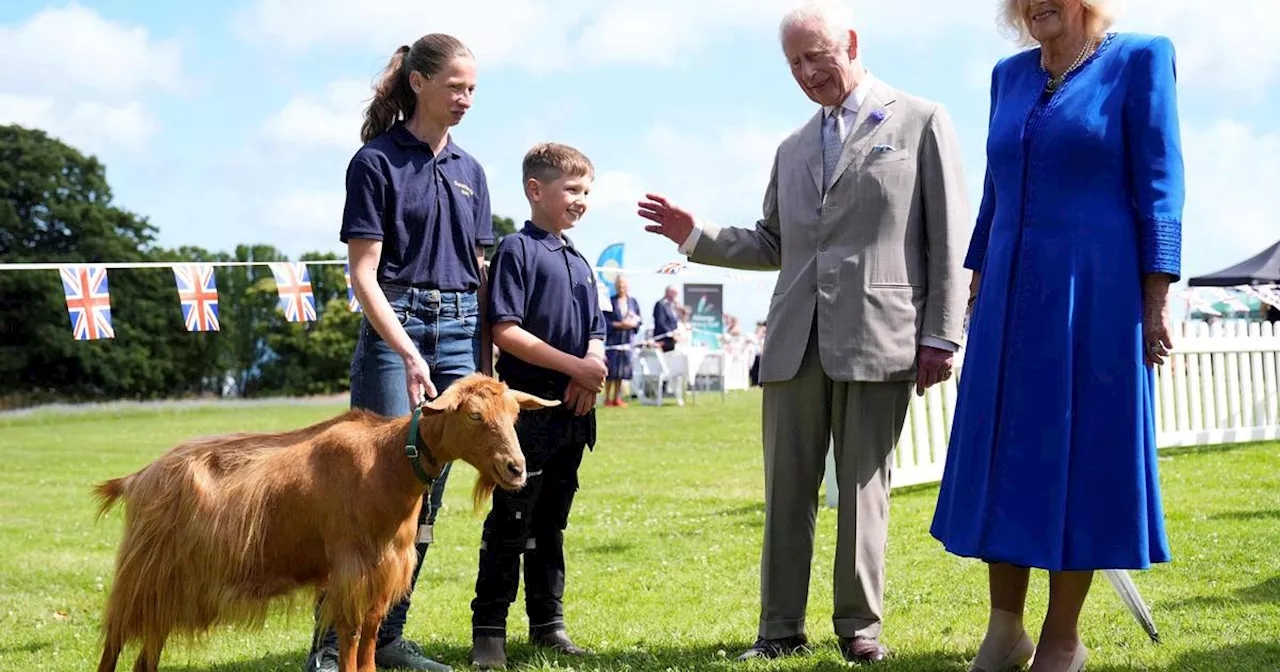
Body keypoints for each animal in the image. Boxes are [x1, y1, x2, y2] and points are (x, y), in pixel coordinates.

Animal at [94, 373, 555, 665]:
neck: (387, 463)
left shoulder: (384, 575)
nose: (516, 468)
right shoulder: (350, 574)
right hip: (142, 575)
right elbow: (349, 640)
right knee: (113, 643)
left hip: (169, 586)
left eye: (515, 414)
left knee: (145, 655)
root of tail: (138, 478)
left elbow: (369, 641)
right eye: (474, 415)